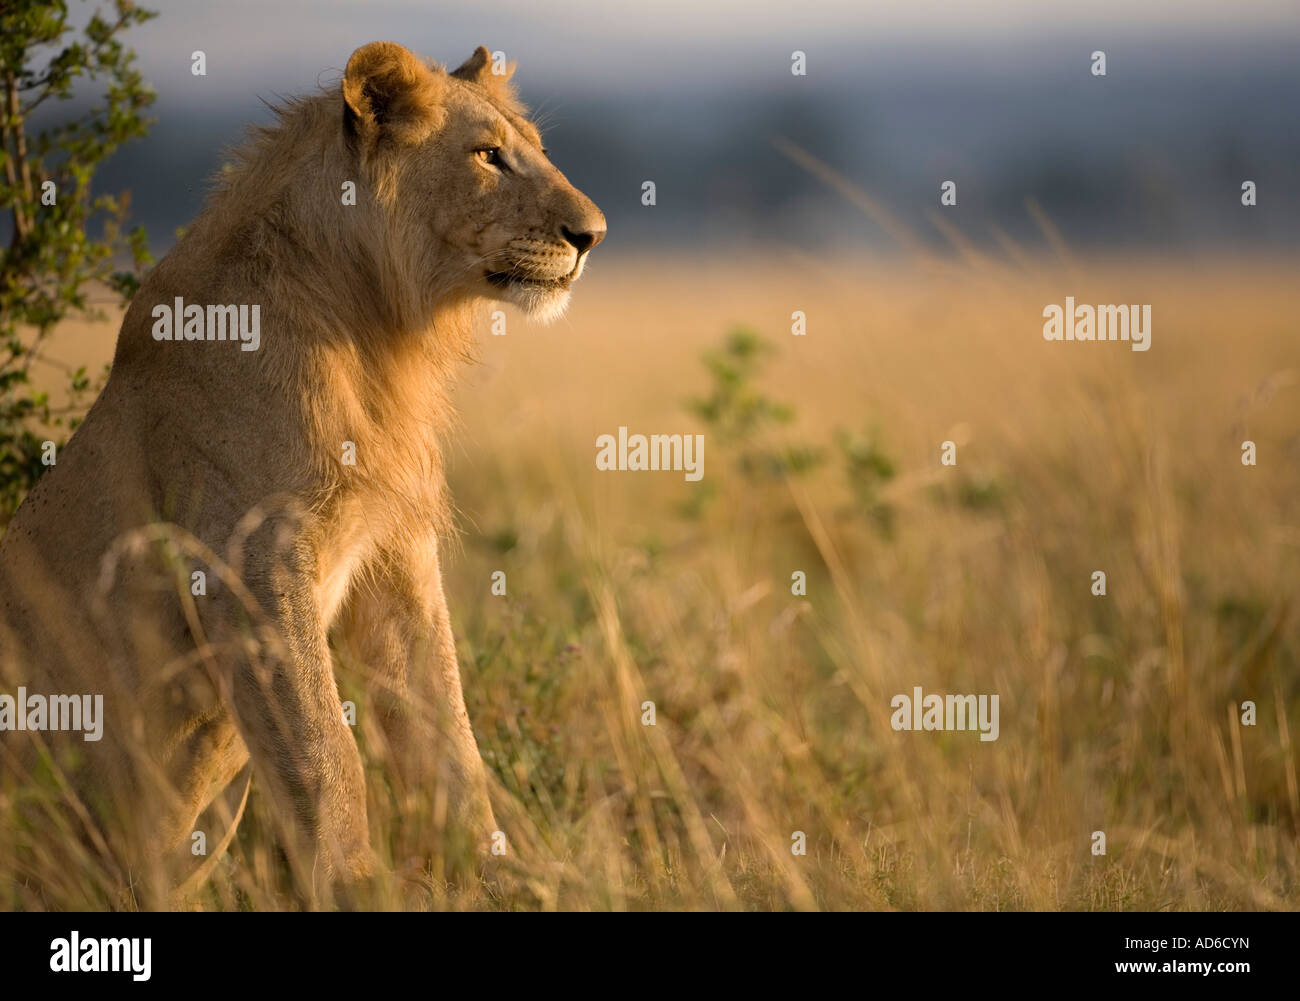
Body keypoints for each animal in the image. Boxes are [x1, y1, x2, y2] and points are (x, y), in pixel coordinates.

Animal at [0, 41, 605, 908]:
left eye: (537, 149)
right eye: (488, 155)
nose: (592, 234)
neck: (374, 327)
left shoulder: (394, 552)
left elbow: (446, 726)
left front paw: (503, 877)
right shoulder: (246, 559)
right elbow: (326, 750)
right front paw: (359, 886)